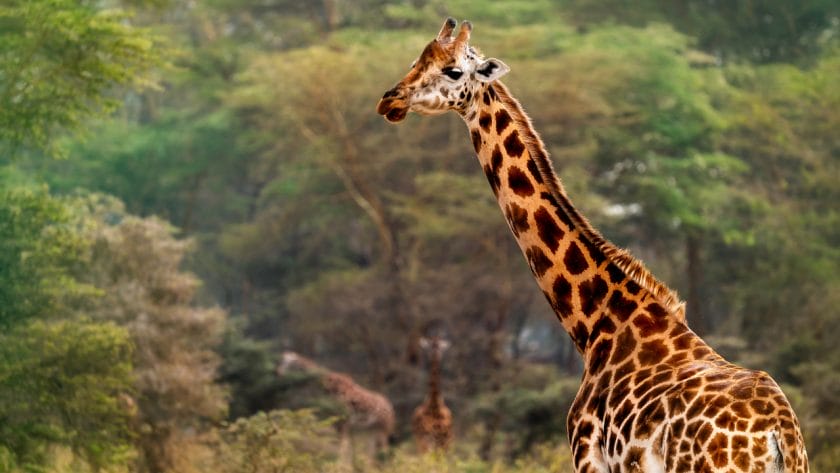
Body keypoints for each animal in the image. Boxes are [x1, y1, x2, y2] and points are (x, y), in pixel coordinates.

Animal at [376, 17, 808, 472]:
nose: (390, 100)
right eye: (416, 59)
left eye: (454, 71)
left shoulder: (587, 454)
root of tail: (779, 433)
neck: (594, 323)